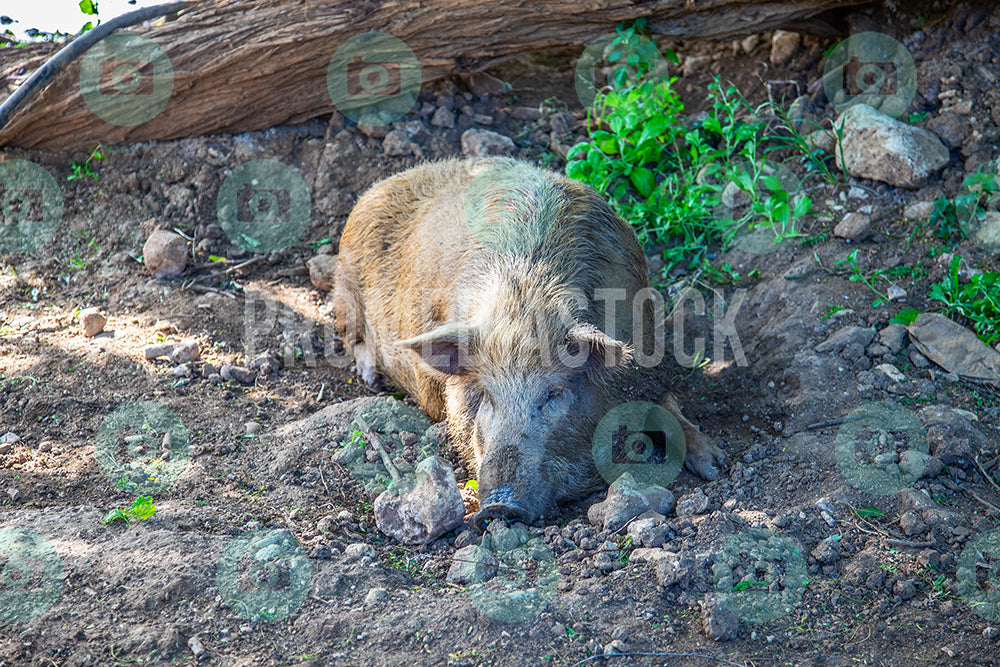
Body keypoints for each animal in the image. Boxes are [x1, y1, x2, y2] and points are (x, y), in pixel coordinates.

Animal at [336, 158, 728, 520]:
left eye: (553, 393)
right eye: (488, 396)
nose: (499, 505)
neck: (525, 305)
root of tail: (383, 185)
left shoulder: (649, 358)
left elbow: (668, 406)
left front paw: (715, 464)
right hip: (346, 290)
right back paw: (370, 379)